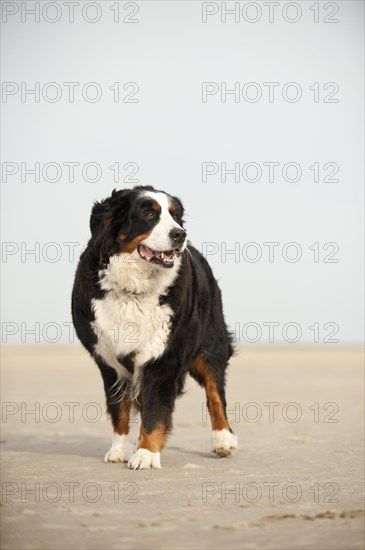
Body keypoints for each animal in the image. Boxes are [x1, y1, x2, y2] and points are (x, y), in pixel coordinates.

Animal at [72, 188, 237, 472]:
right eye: (149, 214)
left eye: (175, 215)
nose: (180, 234)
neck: (134, 289)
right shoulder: (109, 360)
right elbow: (119, 409)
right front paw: (120, 449)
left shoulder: (162, 356)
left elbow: (155, 410)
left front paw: (146, 453)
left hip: (211, 344)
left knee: (216, 394)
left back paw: (224, 441)